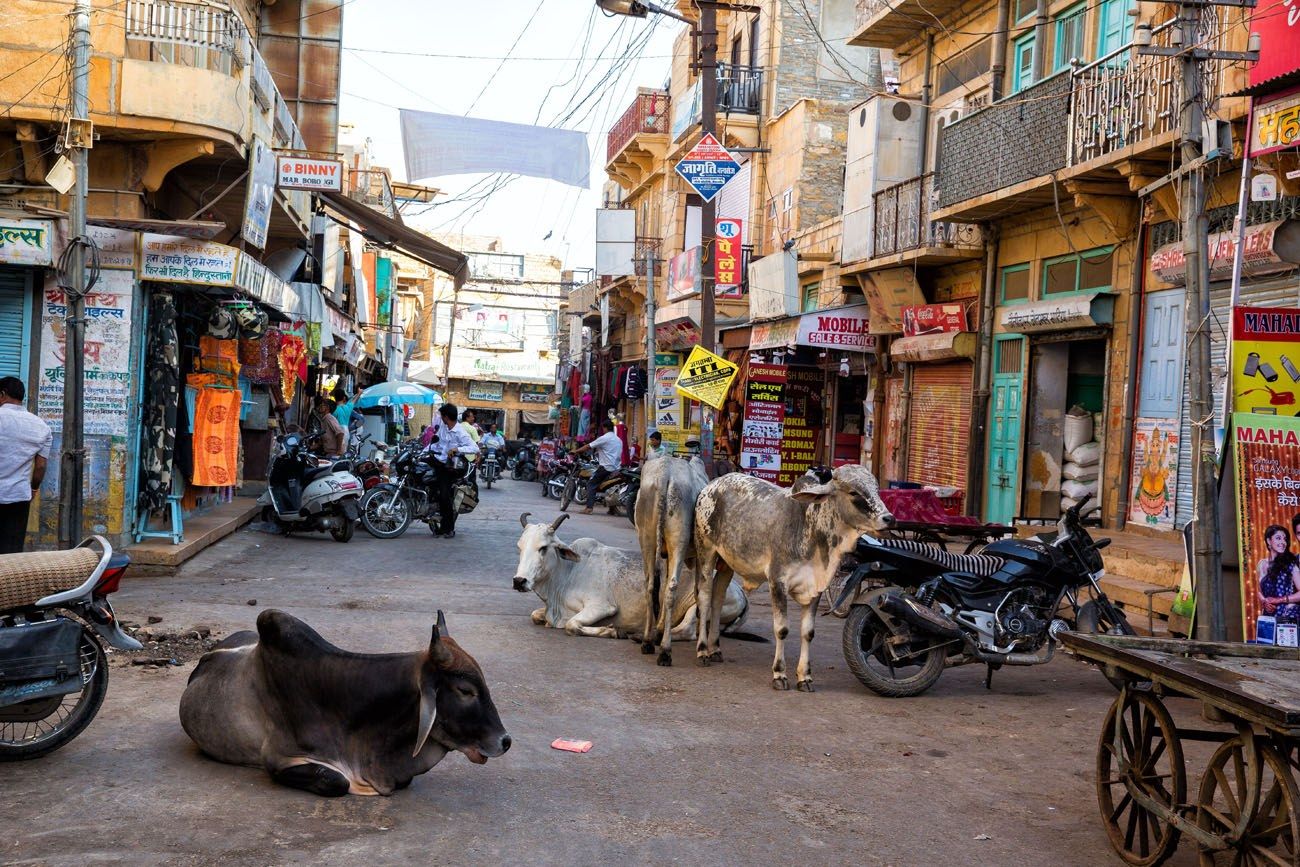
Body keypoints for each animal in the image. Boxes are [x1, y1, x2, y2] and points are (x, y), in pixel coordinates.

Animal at [512, 512, 748, 642]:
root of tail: (741, 592)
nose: (519, 581)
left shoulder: (602, 606)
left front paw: (612, 631)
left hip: (698, 603)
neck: (565, 575)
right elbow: (535, 615)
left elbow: (571, 625)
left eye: (543, 548)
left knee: (686, 630)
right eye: (520, 547)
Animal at [631, 452, 712, 670]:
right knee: (671, 587)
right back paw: (665, 651)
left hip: (646, 538)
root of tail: (664, 474)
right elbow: (700, 593)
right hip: (679, 541)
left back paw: (648, 641)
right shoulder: (700, 555)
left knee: (652, 585)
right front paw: (702, 649)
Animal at [691, 465, 894, 696]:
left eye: (876, 489)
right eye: (853, 492)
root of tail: (712, 484)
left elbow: (808, 633)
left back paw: (715, 648)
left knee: (717, 598)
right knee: (704, 598)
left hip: (727, 562)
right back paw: (702, 651)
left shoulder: (815, 588)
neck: (810, 526)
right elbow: (782, 630)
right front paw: (779, 674)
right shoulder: (777, 582)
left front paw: (805, 677)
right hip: (706, 552)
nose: (889, 518)